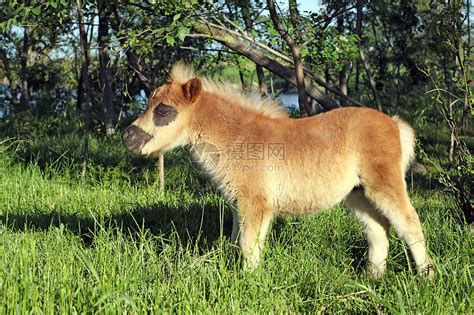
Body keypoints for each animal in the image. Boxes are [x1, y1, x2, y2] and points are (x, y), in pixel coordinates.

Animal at [122, 63, 434, 278]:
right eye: (149, 104)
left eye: (163, 110)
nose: (128, 138)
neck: (237, 138)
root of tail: (394, 124)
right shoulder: (238, 204)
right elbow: (236, 242)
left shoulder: (255, 204)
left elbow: (249, 247)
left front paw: (248, 282)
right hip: (357, 194)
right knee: (378, 229)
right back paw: (373, 278)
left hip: (384, 184)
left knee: (409, 224)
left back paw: (426, 277)